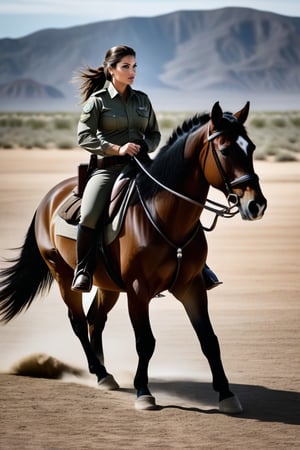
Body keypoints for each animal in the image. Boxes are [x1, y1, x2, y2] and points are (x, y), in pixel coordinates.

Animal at [0, 103, 268, 414]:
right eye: (225, 150)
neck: (165, 215)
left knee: (95, 320)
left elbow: (209, 340)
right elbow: (145, 342)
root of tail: (49, 198)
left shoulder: (191, 286)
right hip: (63, 275)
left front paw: (226, 394)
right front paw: (144, 392)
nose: (256, 204)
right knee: (78, 321)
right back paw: (99, 372)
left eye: (251, 147)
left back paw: (105, 372)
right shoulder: (139, 291)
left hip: (108, 285)